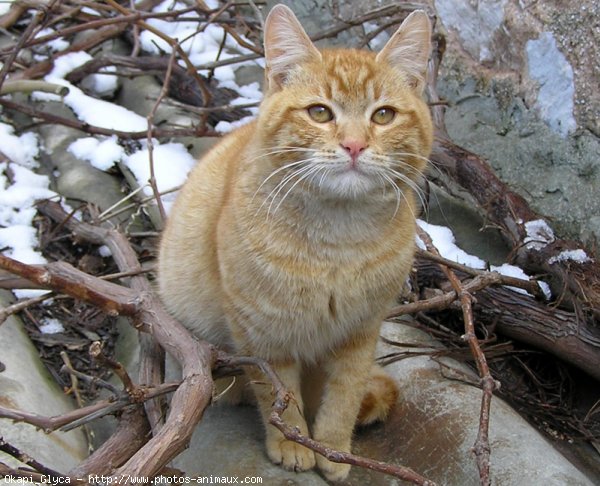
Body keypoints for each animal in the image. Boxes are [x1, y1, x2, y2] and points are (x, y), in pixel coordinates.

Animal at [158, 4, 432, 482]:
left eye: (383, 116)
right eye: (320, 113)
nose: (354, 145)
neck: (339, 240)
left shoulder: (360, 332)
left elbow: (344, 394)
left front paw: (334, 448)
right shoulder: (263, 334)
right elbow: (277, 394)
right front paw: (292, 442)